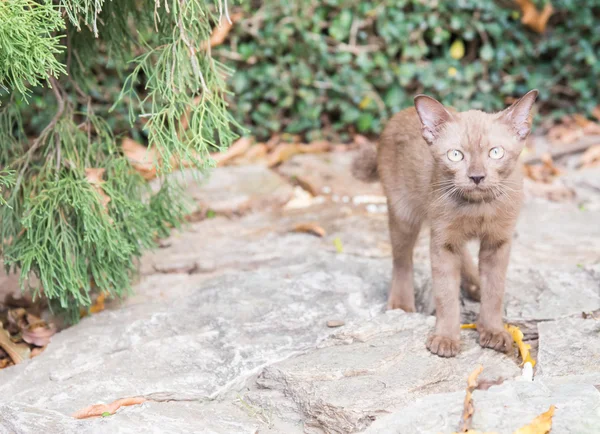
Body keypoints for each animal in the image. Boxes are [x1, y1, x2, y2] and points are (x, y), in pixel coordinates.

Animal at [352, 90, 540, 356]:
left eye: (496, 153)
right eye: (455, 155)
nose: (477, 177)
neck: (477, 208)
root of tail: (400, 114)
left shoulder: (497, 242)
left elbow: (494, 291)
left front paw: (493, 331)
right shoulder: (443, 243)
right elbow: (446, 294)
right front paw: (446, 338)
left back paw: (474, 285)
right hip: (403, 214)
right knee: (402, 260)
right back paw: (402, 304)